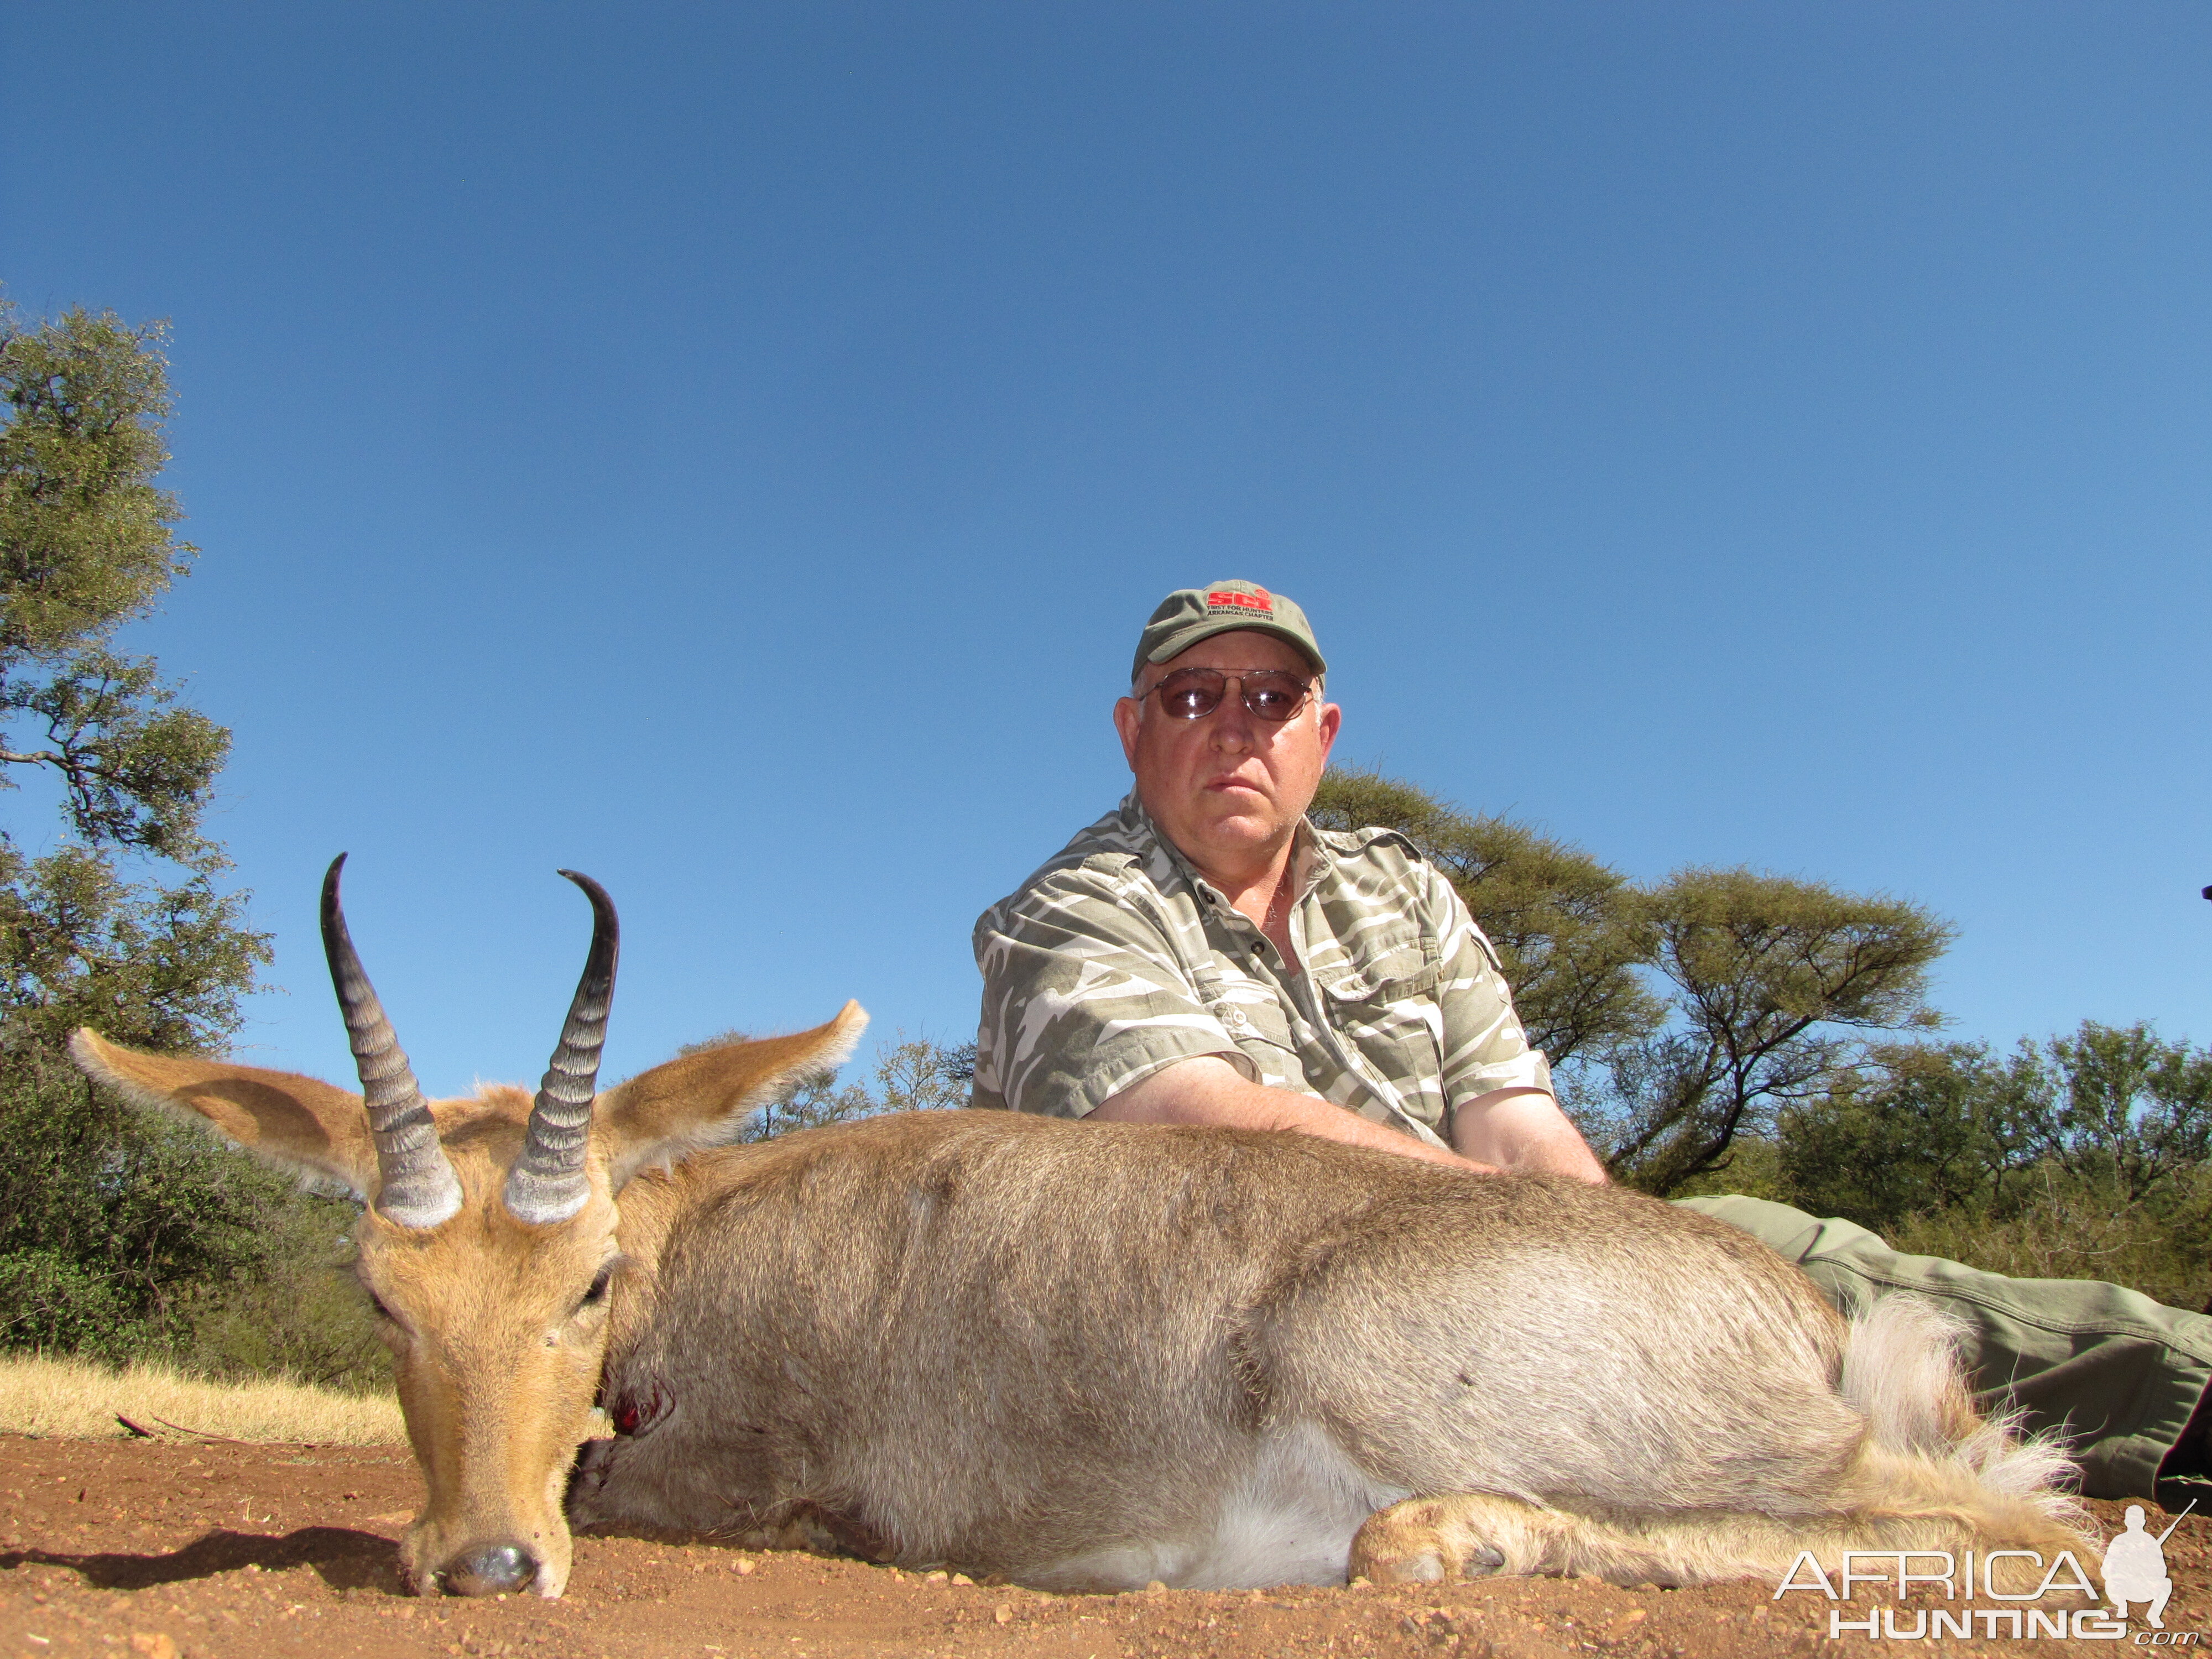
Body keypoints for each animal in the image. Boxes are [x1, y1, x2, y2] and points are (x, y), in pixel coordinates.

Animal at [78, 858, 2088, 1601]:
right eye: (379, 1293)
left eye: (587, 1281)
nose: (483, 1568)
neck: (713, 1234)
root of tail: (1793, 1313)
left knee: (2031, 1532)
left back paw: (1446, 1539)